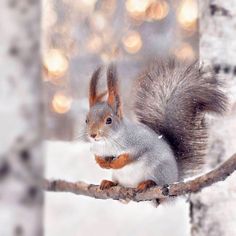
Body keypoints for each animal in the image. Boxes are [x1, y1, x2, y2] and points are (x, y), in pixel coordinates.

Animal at [84, 59, 227, 192]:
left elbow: (132, 155)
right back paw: (109, 182)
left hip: (159, 170)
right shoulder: (96, 149)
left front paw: (117, 163)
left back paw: (147, 183)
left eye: (109, 120)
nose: (93, 135)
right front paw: (102, 163)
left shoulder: (138, 143)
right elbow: (97, 156)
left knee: (156, 181)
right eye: (86, 120)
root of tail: (175, 177)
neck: (107, 142)